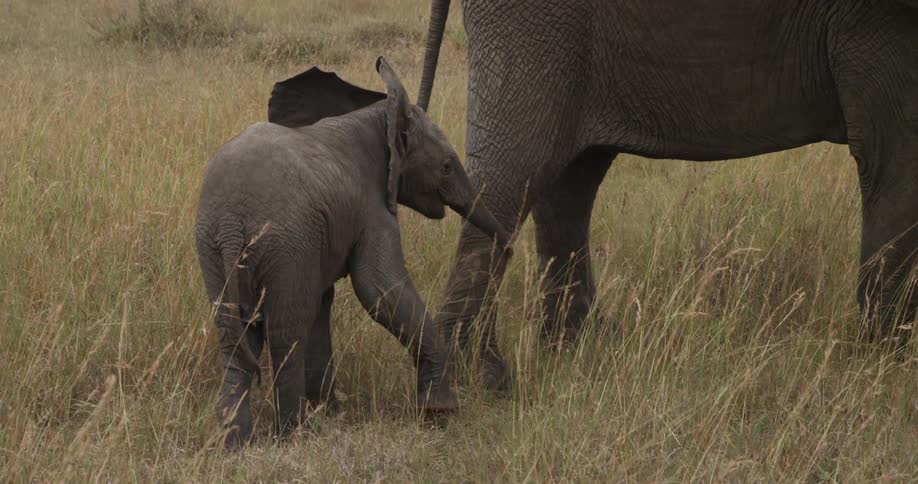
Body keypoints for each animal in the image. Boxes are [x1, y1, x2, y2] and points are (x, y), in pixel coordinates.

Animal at [194, 57, 512, 448]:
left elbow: (325, 300)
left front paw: (332, 413)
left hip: (213, 248)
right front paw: (440, 411)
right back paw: (294, 434)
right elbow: (379, 289)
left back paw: (235, 444)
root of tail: (229, 221)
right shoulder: (371, 209)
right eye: (447, 166)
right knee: (287, 330)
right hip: (284, 241)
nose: (509, 248)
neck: (379, 115)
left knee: (233, 336)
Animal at [417, 0, 918, 389]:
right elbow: (896, 158)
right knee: (516, 173)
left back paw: (584, 344)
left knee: (572, 179)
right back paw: (480, 378)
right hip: (535, 27)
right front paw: (890, 365)